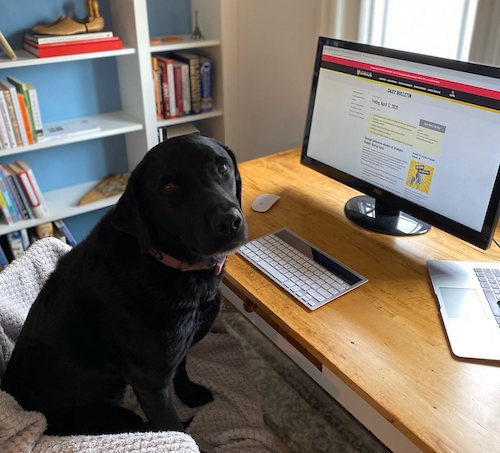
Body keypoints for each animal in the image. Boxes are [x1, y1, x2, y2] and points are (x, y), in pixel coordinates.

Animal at [1, 135, 248, 434]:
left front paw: (189, 395)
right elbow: (172, 428)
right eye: (169, 187)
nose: (229, 223)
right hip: (113, 417)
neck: (166, 263)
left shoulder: (176, 351)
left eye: (222, 167)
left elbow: (182, 370)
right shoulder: (150, 382)